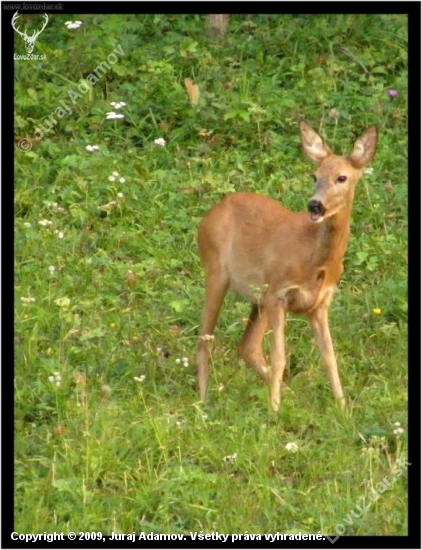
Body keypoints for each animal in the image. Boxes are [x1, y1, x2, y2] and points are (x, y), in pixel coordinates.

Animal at [196, 122, 378, 414]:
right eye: (314, 175)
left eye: (342, 178)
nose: (315, 205)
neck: (314, 258)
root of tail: (210, 214)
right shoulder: (279, 293)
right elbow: (280, 356)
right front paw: (274, 410)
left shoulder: (319, 303)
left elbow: (330, 357)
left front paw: (342, 408)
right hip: (217, 271)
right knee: (204, 339)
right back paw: (203, 402)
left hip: (258, 297)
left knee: (247, 346)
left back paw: (290, 395)